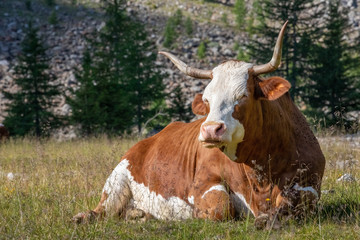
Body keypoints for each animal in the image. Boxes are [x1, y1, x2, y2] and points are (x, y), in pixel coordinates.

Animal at [71, 22, 324, 229]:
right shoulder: (203, 183)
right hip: (117, 182)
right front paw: (193, 215)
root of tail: (144, 143)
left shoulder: (309, 185)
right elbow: (222, 208)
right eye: (206, 99)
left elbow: (290, 207)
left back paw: (139, 215)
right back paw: (84, 217)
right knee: (101, 211)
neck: (262, 170)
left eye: (242, 96)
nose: (211, 129)